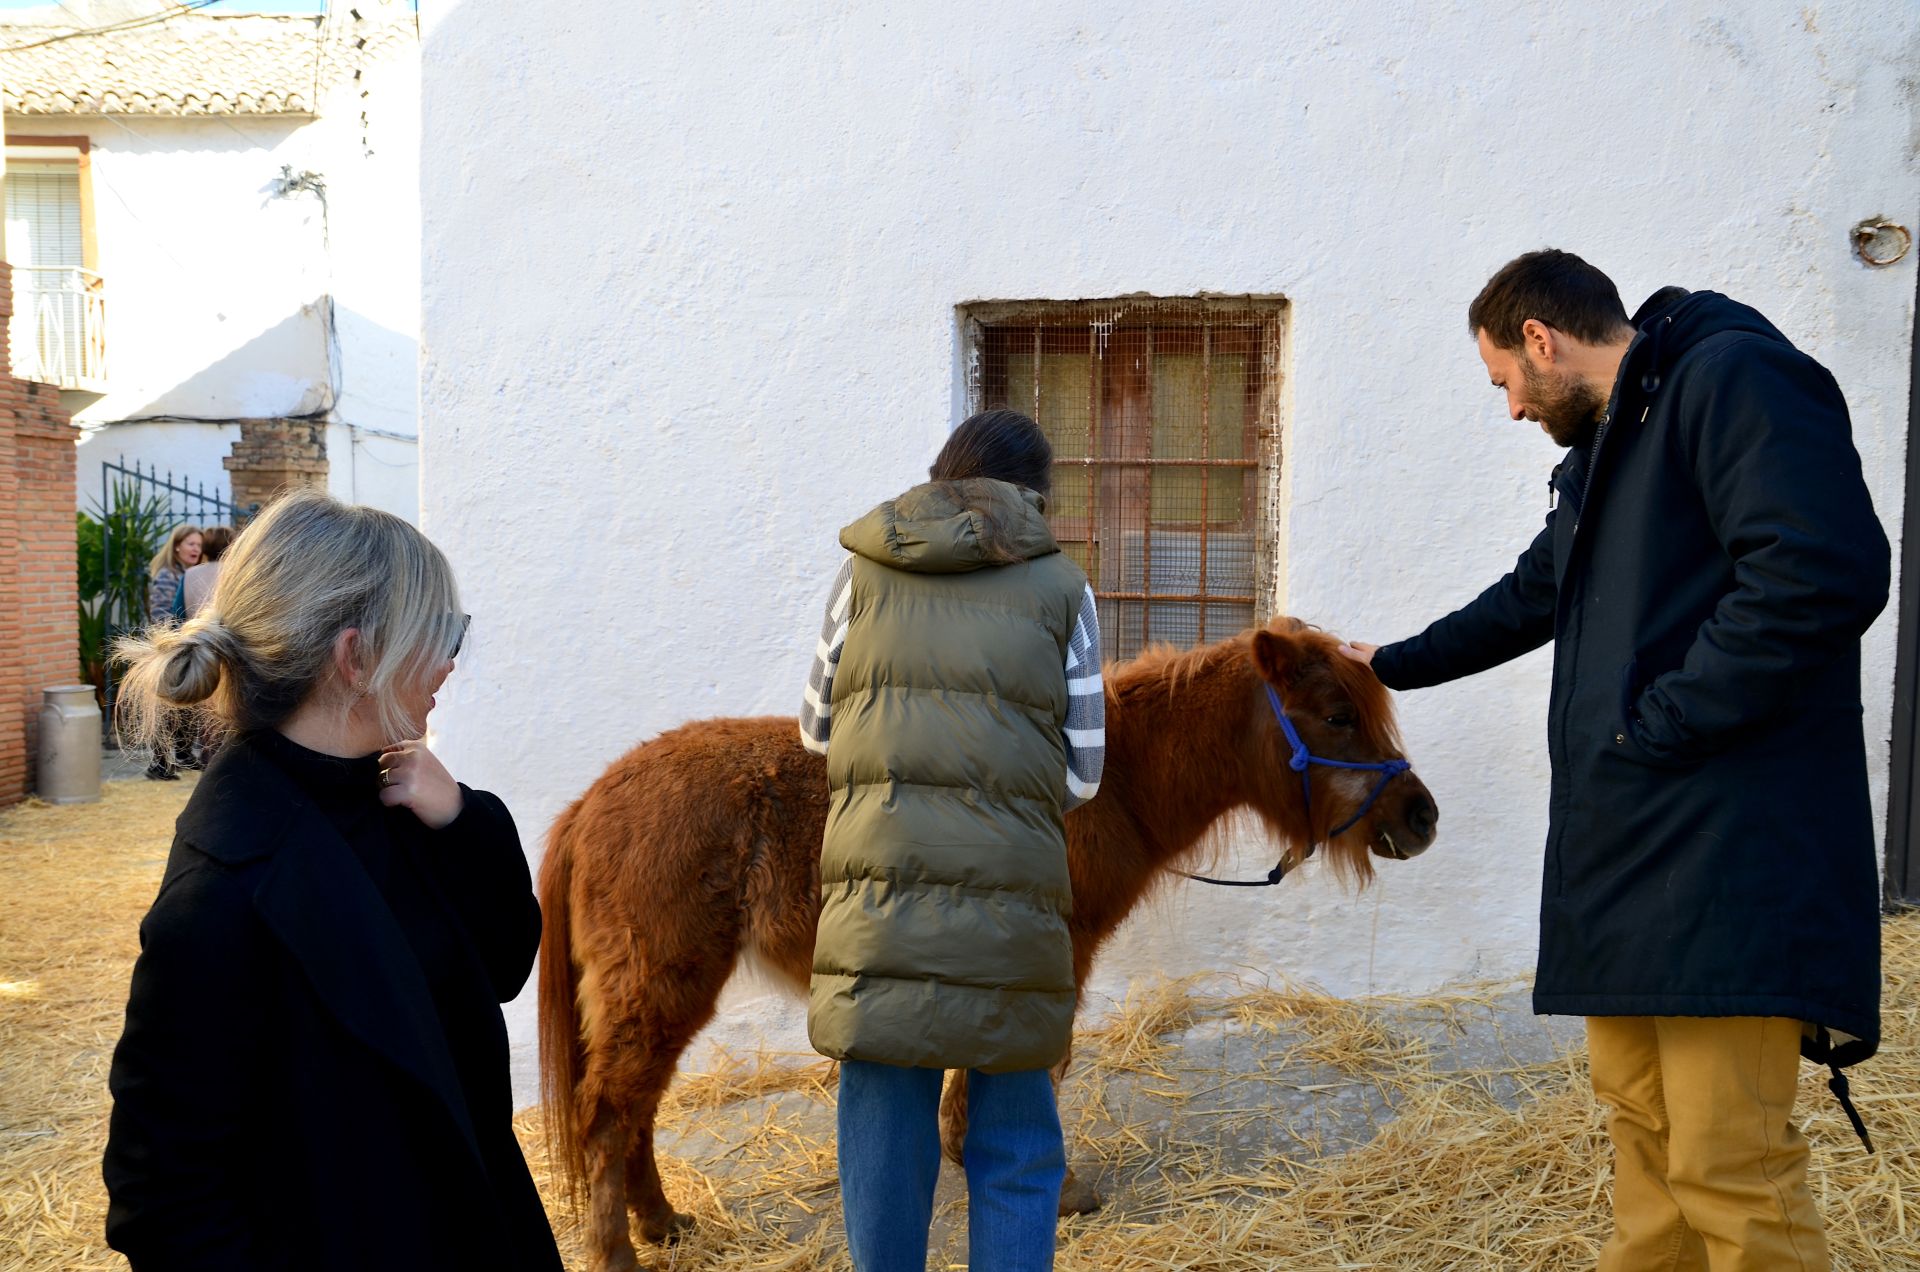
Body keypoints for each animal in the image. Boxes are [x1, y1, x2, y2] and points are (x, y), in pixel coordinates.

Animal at [533, 618, 1436, 1272]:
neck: (1104, 784)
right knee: (610, 1114)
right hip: (663, 984)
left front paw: (967, 1151)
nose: (1420, 817)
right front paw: (1048, 1187)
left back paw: (664, 1224)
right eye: (1339, 716)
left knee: (638, 1108)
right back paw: (619, 1252)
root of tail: (591, 802)